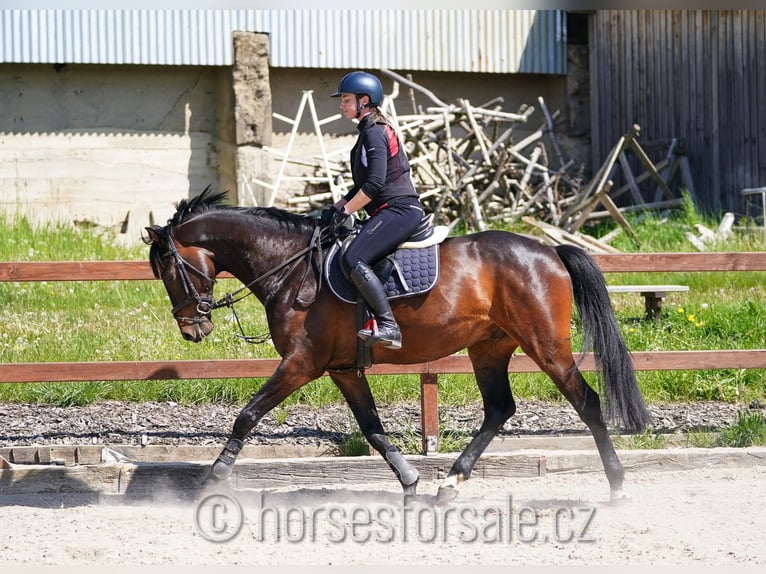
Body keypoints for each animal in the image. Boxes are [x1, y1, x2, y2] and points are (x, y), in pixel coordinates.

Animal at [145, 188, 652, 505]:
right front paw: (409, 481)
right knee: (498, 409)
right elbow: (372, 428)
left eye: (169, 271)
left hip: (545, 346)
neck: (290, 265)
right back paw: (450, 484)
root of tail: (549, 251)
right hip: (489, 348)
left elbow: (247, 415)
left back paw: (618, 486)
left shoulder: (302, 362)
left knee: (587, 401)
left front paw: (213, 480)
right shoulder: (342, 368)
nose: (192, 329)